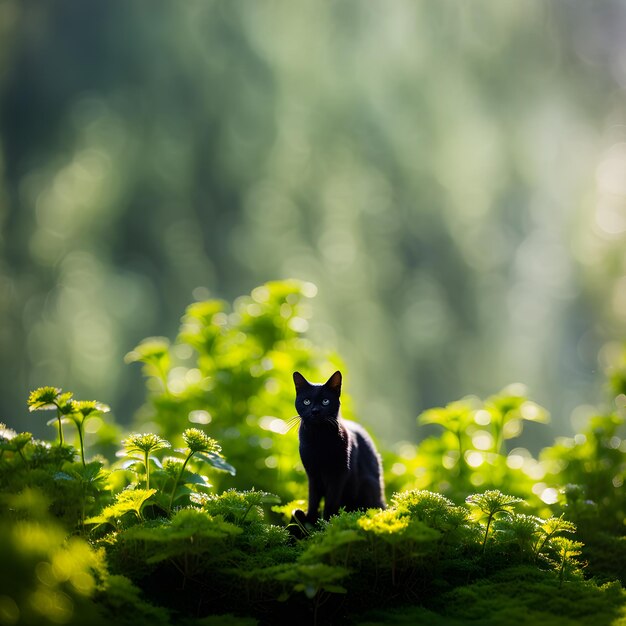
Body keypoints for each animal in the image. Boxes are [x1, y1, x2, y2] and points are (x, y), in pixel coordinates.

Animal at [292, 370, 386, 520]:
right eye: (306, 401)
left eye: (325, 401)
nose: (315, 411)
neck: (319, 439)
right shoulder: (312, 474)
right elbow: (313, 499)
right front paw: (310, 520)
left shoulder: (338, 475)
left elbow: (331, 501)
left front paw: (328, 521)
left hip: (367, 485)